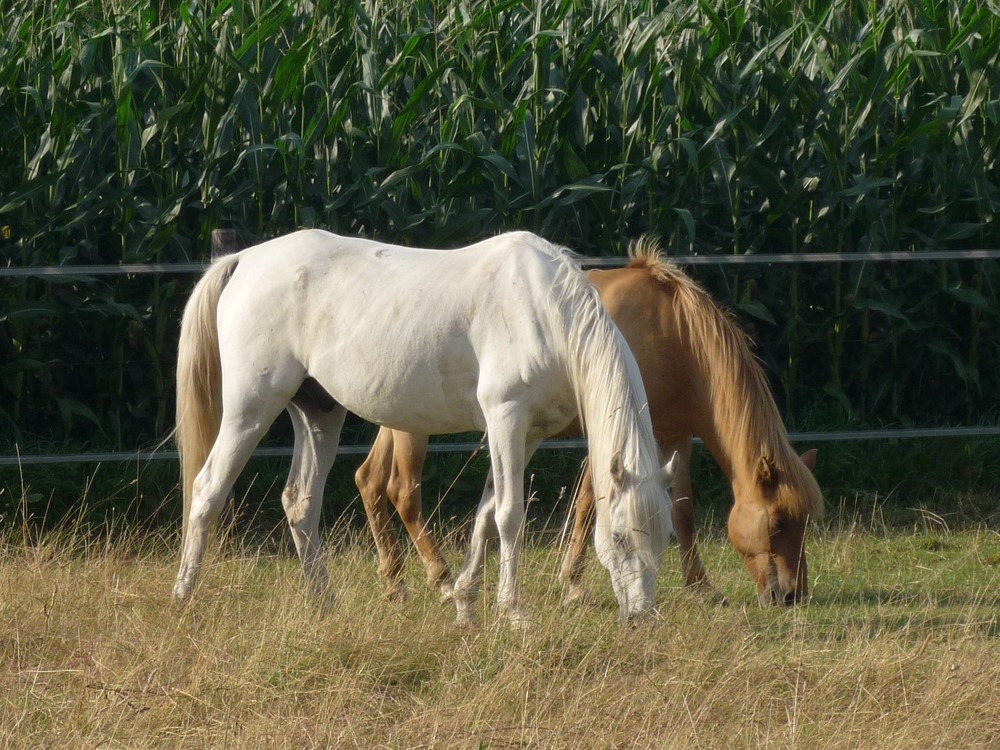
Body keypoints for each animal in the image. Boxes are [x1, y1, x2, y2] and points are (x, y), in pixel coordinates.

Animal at [172, 231, 676, 628]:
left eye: (667, 534)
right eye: (618, 537)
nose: (641, 618)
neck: (544, 309)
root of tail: (244, 260)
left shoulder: (525, 434)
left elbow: (485, 516)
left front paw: (465, 605)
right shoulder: (506, 419)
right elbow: (509, 515)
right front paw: (514, 614)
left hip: (319, 413)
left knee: (300, 501)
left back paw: (325, 606)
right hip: (250, 408)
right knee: (207, 489)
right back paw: (183, 599)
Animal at [356, 244, 824, 608]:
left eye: (804, 522)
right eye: (778, 522)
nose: (791, 596)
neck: (677, 338)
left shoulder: (674, 436)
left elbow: (683, 509)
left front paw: (702, 588)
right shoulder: (616, 438)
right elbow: (589, 505)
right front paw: (574, 585)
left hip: (395, 419)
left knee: (369, 481)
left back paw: (394, 583)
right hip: (412, 429)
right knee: (402, 491)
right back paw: (439, 577)